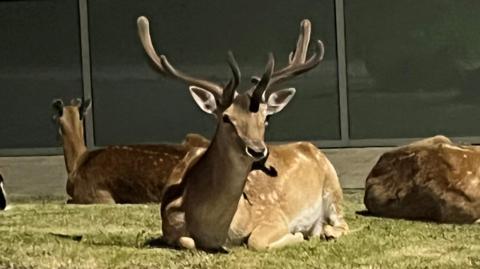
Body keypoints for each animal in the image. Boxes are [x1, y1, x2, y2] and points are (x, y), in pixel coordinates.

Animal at [137, 15, 346, 249]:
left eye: (266, 117)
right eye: (226, 118)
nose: (258, 151)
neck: (217, 232)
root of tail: (309, 146)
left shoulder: (272, 215)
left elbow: (256, 241)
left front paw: (297, 235)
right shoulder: (168, 228)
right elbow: (186, 241)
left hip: (333, 186)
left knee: (342, 222)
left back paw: (325, 232)